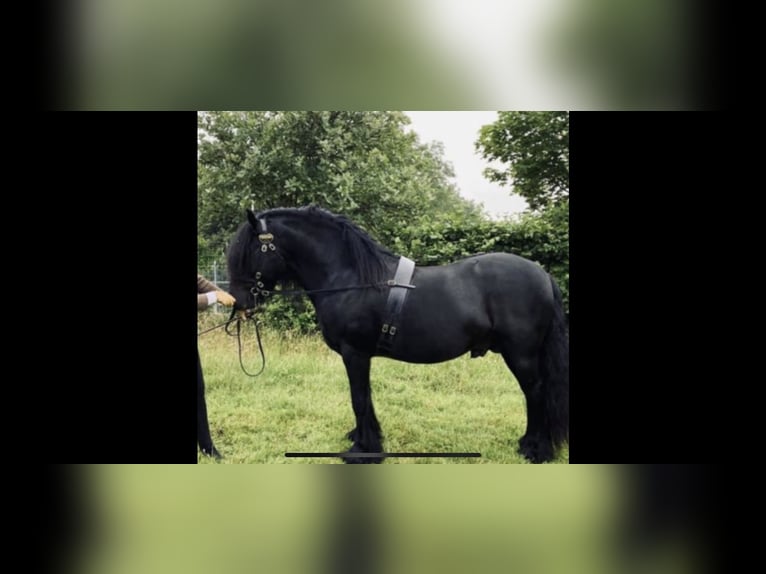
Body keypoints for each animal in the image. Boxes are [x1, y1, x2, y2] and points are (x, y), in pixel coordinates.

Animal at [226, 206, 568, 463]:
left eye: (250, 250)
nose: (238, 303)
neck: (350, 278)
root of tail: (542, 274)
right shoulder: (360, 356)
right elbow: (365, 398)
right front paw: (365, 438)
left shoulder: (355, 353)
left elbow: (359, 398)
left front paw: (362, 450)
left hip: (521, 354)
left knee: (535, 392)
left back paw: (537, 450)